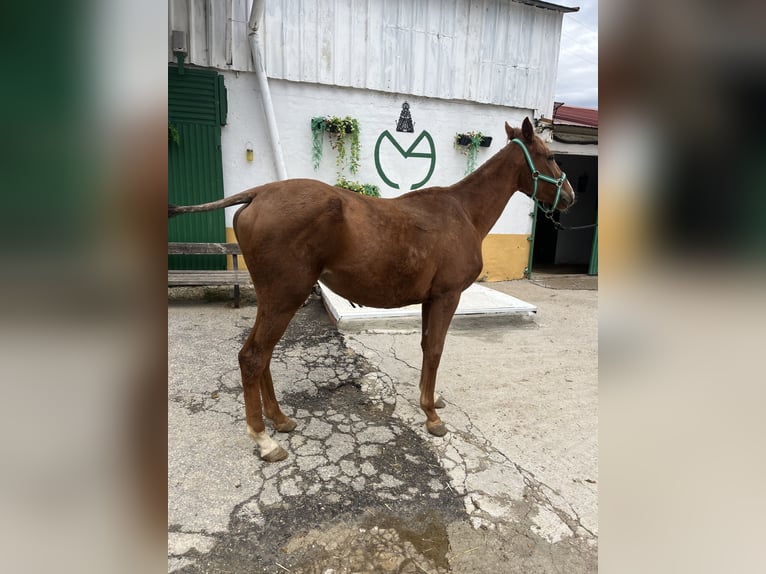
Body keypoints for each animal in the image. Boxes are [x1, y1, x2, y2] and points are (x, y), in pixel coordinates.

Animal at [171, 118, 572, 464]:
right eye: (551, 157)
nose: (570, 196)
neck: (463, 213)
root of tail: (258, 193)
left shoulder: (431, 300)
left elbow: (426, 346)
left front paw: (430, 400)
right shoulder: (447, 296)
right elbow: (436, 349)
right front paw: (431, 416)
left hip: (274, 299)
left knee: (262, 356)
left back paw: (279, 419)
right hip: (283, 298)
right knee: (254, 356)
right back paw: (264, 439)